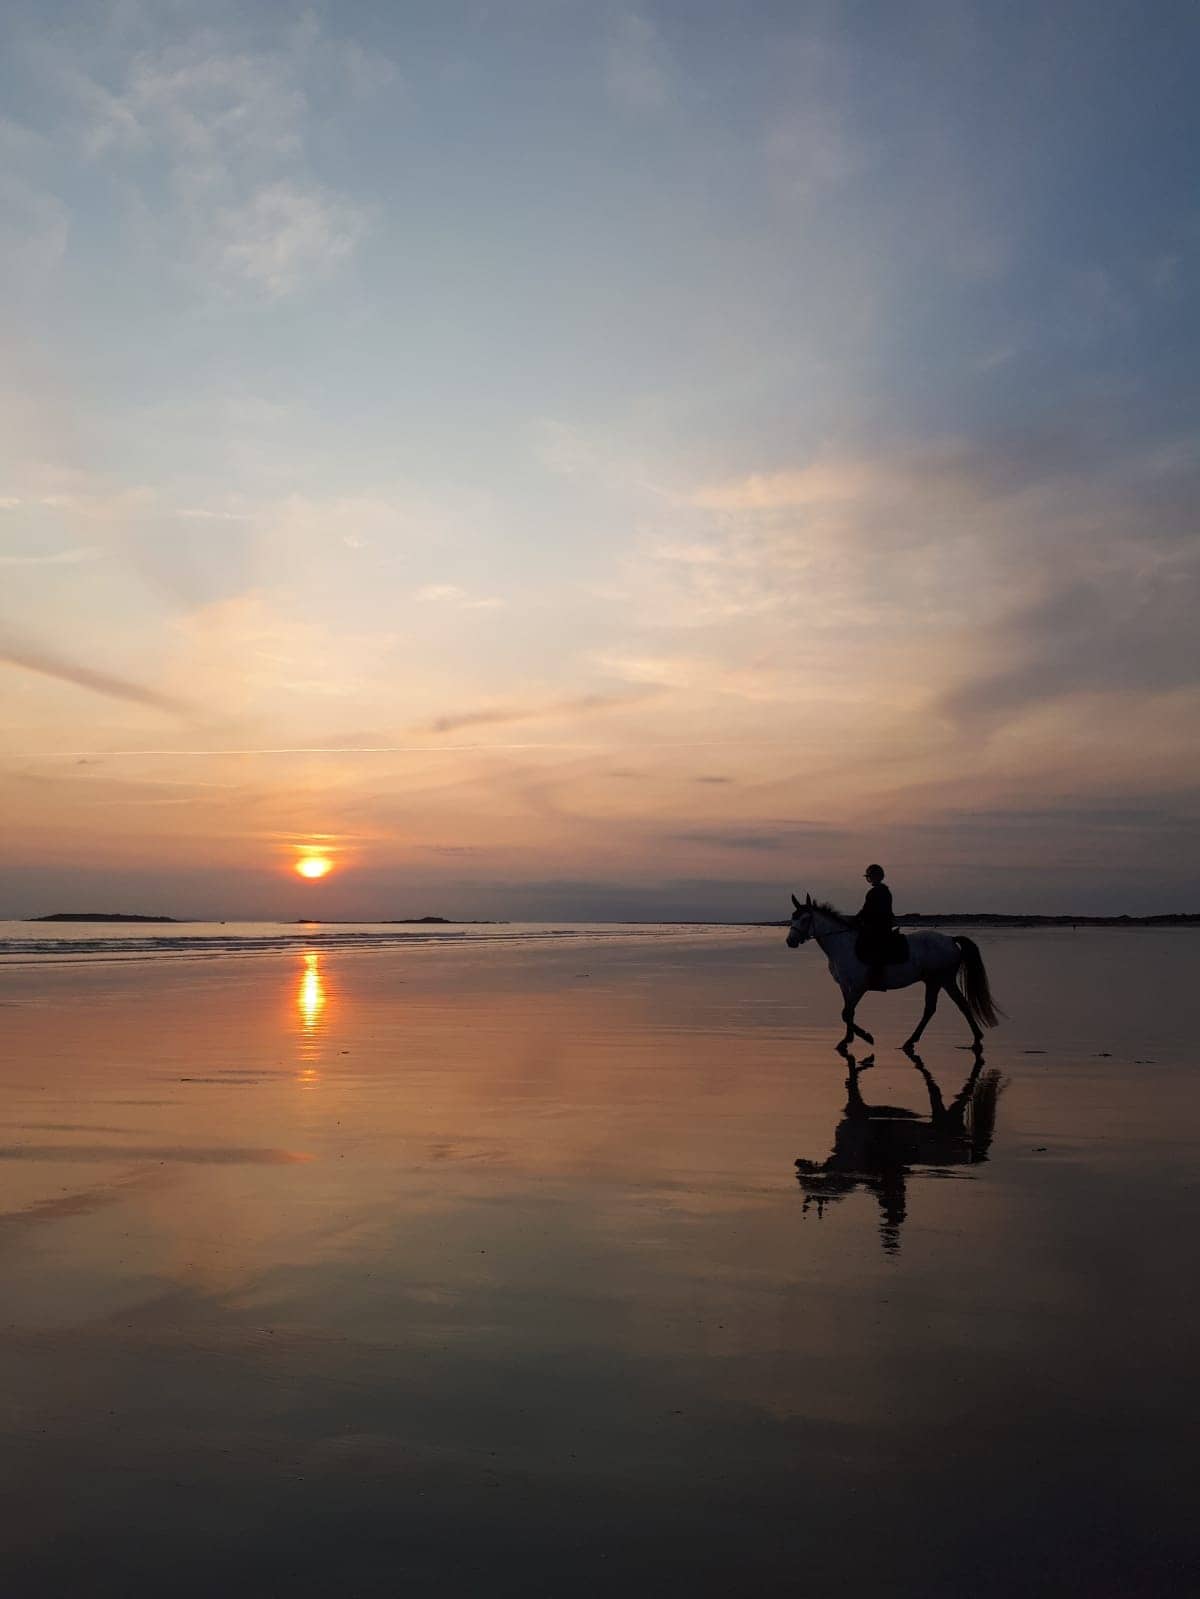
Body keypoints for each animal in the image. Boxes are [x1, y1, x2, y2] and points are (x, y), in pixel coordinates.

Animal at [784, 895, 998, 1055]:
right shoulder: (845, 986)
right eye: (793, 917)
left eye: (805, 919)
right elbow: (848, 1013)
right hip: (933, 981)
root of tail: (951, 940)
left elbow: (847, 1013)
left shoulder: (859, 986)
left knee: (960, 1004)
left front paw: (866, 1037)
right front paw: (847, 1040)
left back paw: (976, 1040)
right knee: (932, 1009)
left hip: (944, 979)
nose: (790, 942)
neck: (842, 944)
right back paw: (910, 1041)